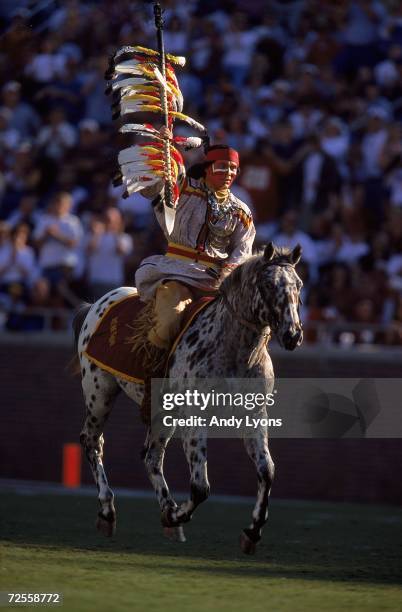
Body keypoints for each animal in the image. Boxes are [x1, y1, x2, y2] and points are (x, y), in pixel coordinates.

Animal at [74, 243, 304, 556]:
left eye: (299, 285)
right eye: (269, 285)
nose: (293, 334)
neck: (233, 349)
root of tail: (97, 306)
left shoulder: (254, 415)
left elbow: (266, 471)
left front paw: (252, 531)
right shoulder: (195, 416)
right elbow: (200, 486)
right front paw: (177, 514)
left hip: (161, 415)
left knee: (151, 456)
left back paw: (167, 515)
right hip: (100, 394)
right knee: (92, 442)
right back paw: (109, 511)